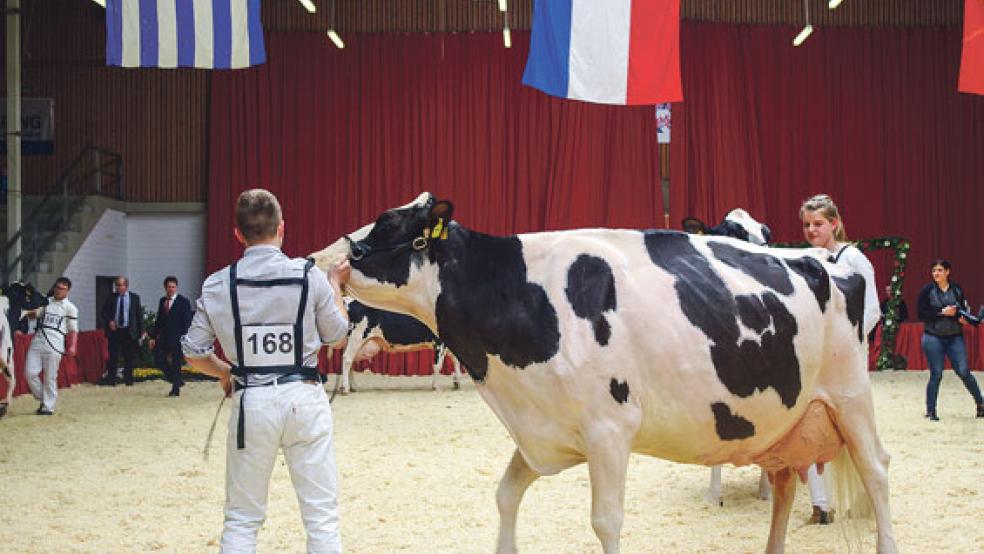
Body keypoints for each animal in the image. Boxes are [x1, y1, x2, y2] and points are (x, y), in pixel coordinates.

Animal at [335, 299, 463, 394]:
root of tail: (349, 301)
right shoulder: (439, 342)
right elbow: (437, 365)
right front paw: (436, 387)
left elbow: (456, 359)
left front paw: (457, 382)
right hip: (357, 337)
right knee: (347, 359)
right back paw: (345, 389)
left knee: (350, 361)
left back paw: (353, 387)